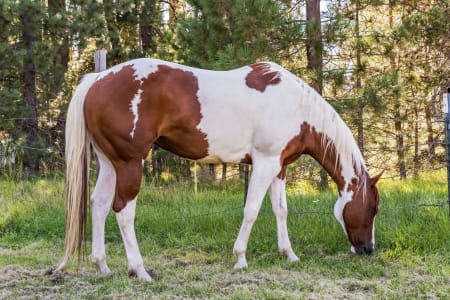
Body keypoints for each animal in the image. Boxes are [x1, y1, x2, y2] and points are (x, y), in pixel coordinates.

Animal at [54, 58, 382, 282]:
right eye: (372, 209)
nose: (368, 250)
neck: (295, 106)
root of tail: (98, 79)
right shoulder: (264, 163)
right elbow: (251, 210)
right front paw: (240, 258)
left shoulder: (278, 167)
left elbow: (281, 210)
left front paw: (289, 254)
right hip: (130, 163)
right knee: (123, 211)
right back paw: (140, 270)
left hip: (109, 163)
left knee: (98, 205)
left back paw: (103, 266)